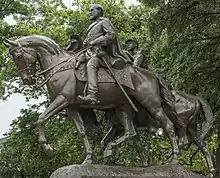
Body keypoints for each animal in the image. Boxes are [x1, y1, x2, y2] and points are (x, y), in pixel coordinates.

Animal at [3, 34, 182, 165]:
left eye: (18, 55)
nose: (27, 80)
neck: (59, 65)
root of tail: (152, 74)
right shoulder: (72, 107)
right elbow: (82, 132)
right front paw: (88, 158)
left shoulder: (62, 100)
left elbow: (41, 118)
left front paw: (47, 148)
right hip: (123, 107)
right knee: (130, 132)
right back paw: (110, 150)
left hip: (152, 105)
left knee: (168, 125)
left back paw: (174, 159)